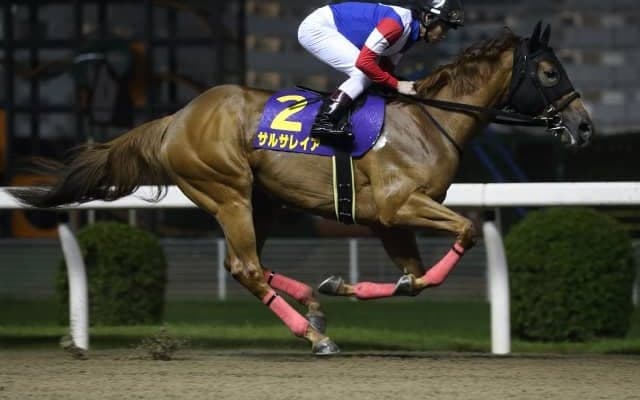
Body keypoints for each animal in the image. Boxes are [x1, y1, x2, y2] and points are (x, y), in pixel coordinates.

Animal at [9, 23, 593, 355]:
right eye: (548, 72)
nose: (585, 126)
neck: (431, 119)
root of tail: (176, 118)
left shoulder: (386, 221)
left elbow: (417, 280)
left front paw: (341, 286)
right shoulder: (399, 205)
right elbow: (468, 231)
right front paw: (339, 294)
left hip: (262, 200)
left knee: (244, 266)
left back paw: (313, 304)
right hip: (227, 191)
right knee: (247, 268)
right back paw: (316, 336)